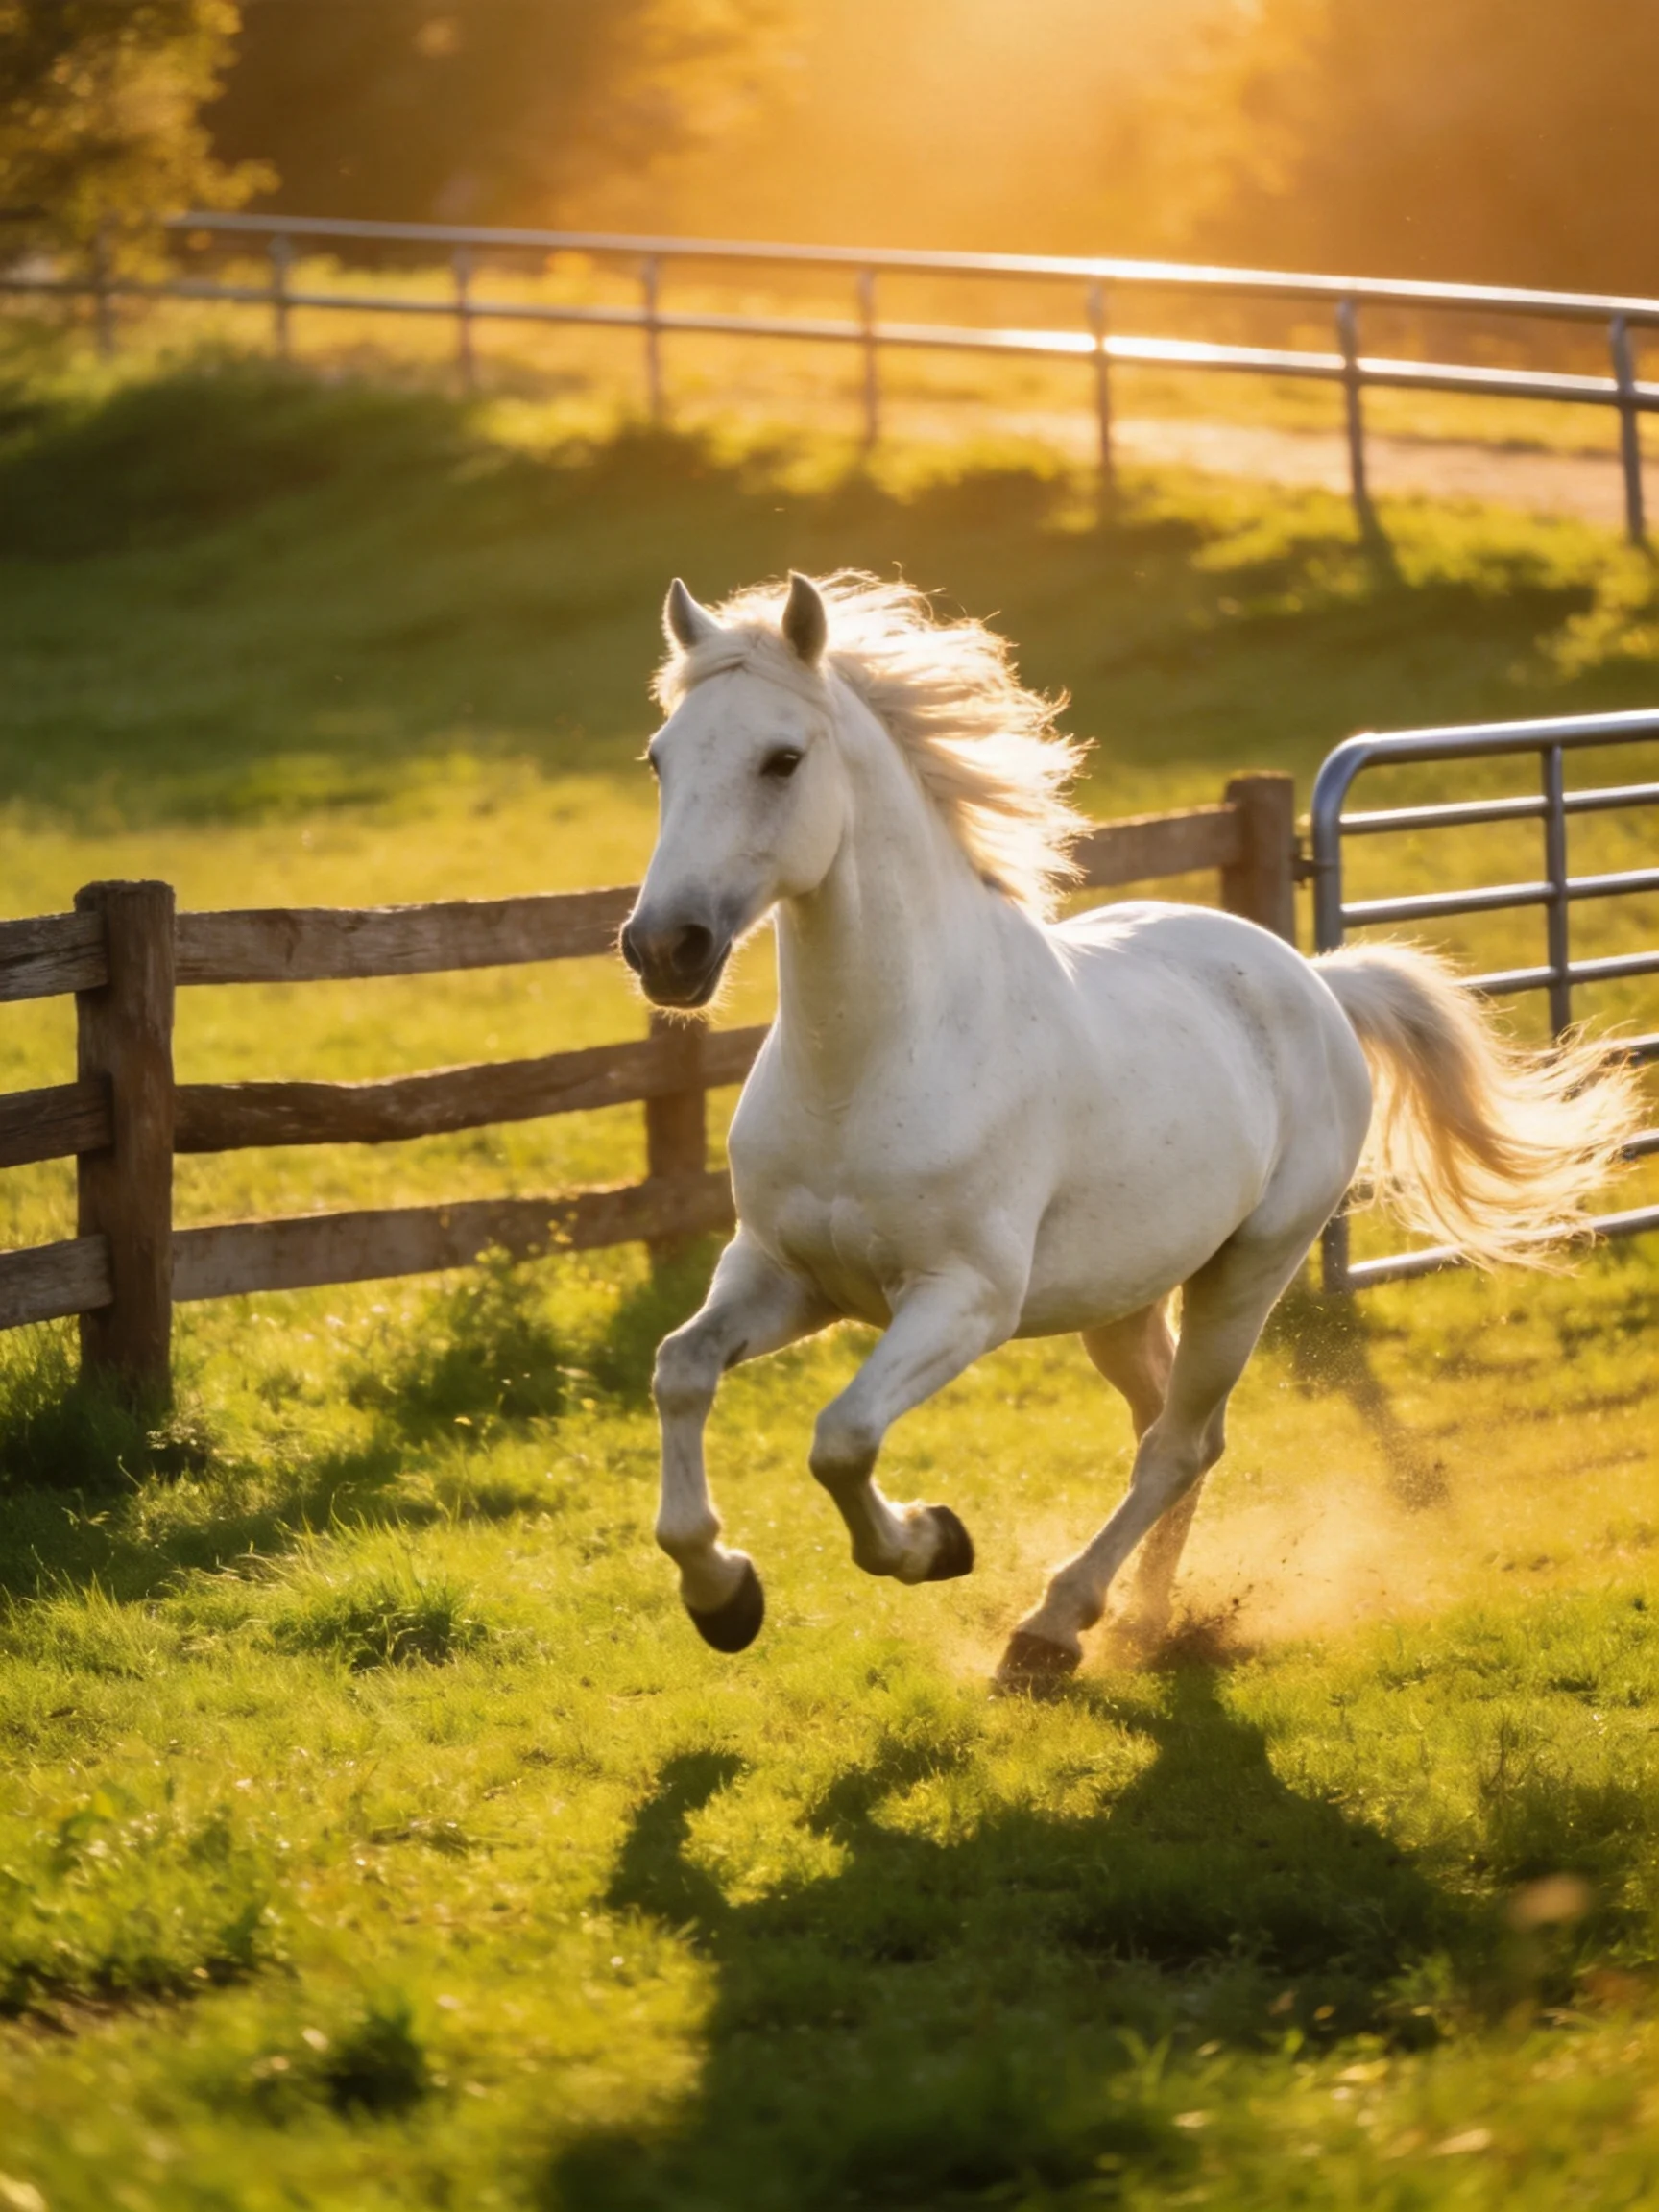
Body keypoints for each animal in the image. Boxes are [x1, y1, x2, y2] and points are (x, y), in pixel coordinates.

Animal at [619, 570, 1639, 1689]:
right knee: (1171, 1431)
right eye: (661, 757)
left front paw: (934, 1542)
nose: (663, 948)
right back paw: (1147, 1616)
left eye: (782, 759)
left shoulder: (964, 1300)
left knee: (1179, 1443)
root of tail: (1317, 981)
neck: (876, 1060)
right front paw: (722, 1594)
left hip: (1250, 1270)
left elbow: (841, 1437)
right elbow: (680, 1369)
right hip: (1123, 1295)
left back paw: (1055, 1627)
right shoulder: (783, 1273)